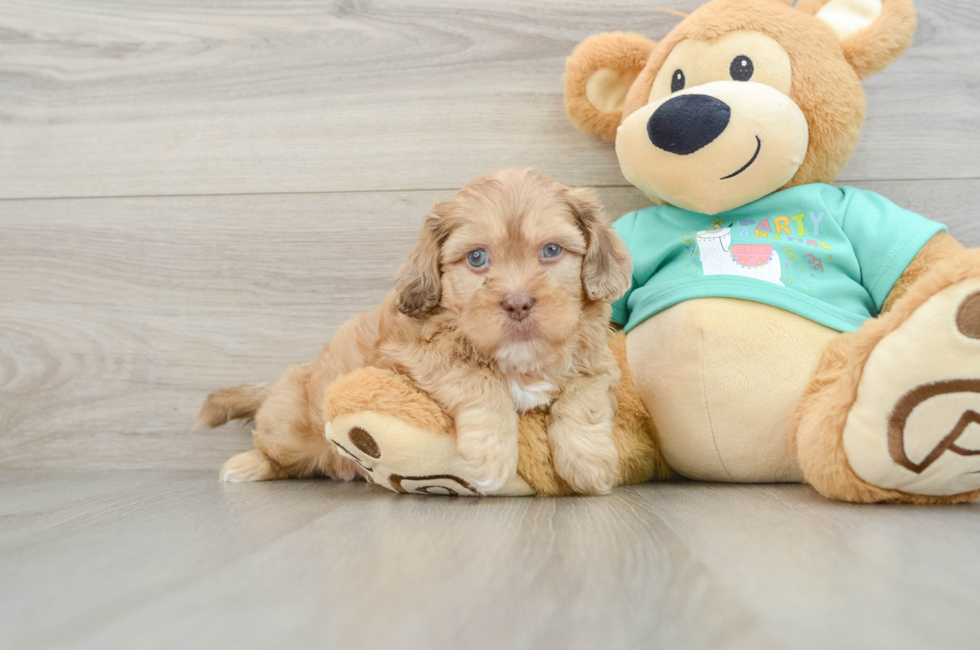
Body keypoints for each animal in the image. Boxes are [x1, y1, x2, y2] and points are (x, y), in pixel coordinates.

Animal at [197, 167, 636, 492]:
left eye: (551, 251)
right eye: (477, 258)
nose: (517, 302)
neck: (517, 357)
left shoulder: (598, 361)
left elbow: (584, 399)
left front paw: (589, 463)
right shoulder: (417, 356)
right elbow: (479, 381)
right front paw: (491, 455)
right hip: (288, 424)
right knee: (275, 451)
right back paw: (245, 465)